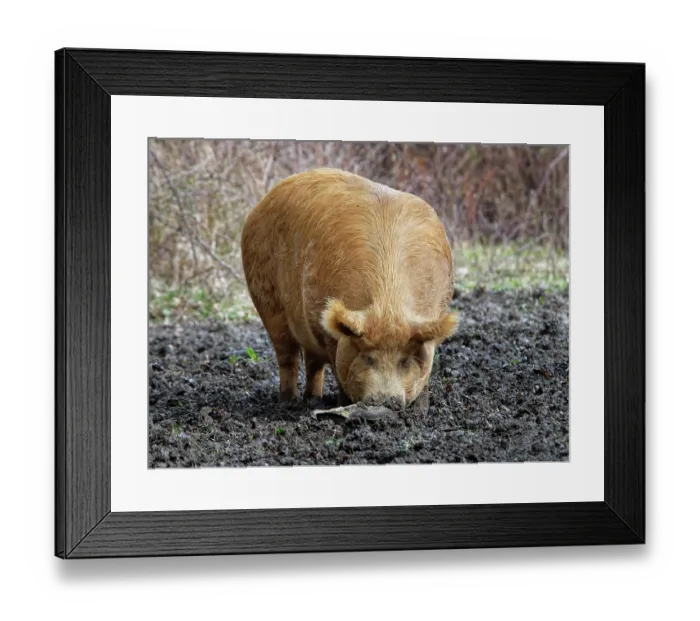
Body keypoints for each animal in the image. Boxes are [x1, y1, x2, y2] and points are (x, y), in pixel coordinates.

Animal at [241, 168, 459, 410]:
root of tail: (262, 203)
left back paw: (313, 399)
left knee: (313, 363)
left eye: (404, 361)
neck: (388, 305)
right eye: (368, 357)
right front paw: (342, 404)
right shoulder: (323, 325)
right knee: (288, 357)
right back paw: (288, 403)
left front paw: (421, 412)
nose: (383, 401)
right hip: (267, 300)